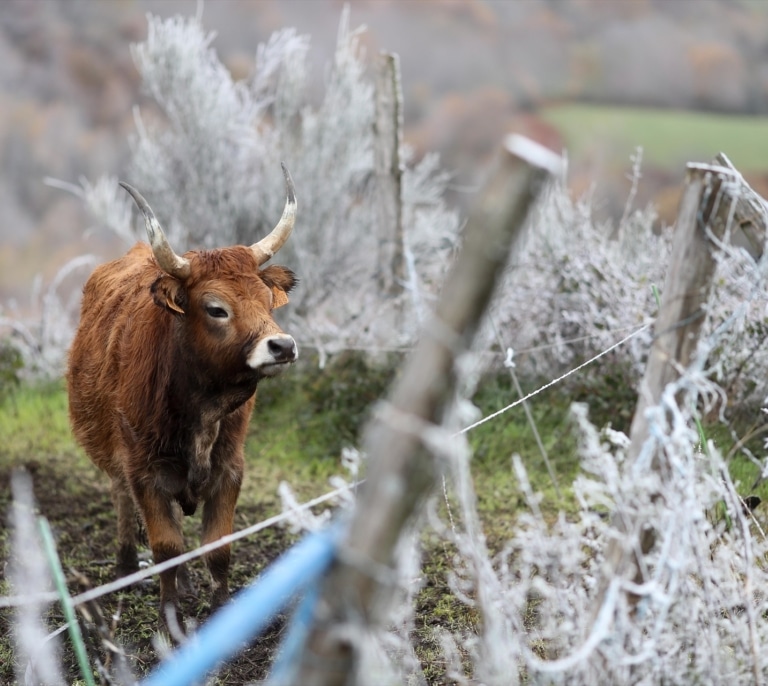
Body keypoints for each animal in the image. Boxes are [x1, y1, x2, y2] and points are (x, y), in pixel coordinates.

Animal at [67, 165, 298, 634]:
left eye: (267, 300)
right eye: (216, 308)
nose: (282, 346)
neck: (200, 407)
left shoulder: (230, 468)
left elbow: (217, 547)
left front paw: (221, 610)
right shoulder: (144, 472)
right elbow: (166, 547)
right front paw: (170, 617)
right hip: (117, 461)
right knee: (123, 503)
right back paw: (125, 569)